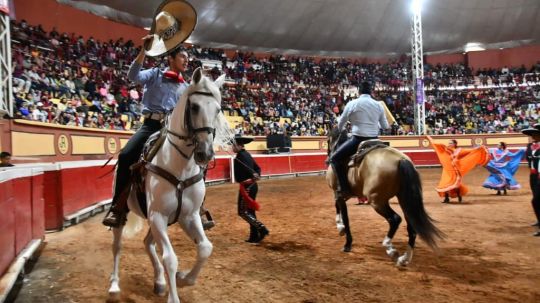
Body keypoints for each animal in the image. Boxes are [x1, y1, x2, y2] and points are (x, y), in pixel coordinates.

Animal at [324, 129, 442, 268]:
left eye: (328, 140)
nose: (327, 159)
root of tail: (401, 160)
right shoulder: (344, 195)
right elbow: (337, 206)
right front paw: (341, 228)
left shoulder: (339, 194)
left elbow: (345, 217)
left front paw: (346, 241)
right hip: (404, 201)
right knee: (412, 227)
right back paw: (404, 258)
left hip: (377, 201)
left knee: (395, 219)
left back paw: (390, 248)